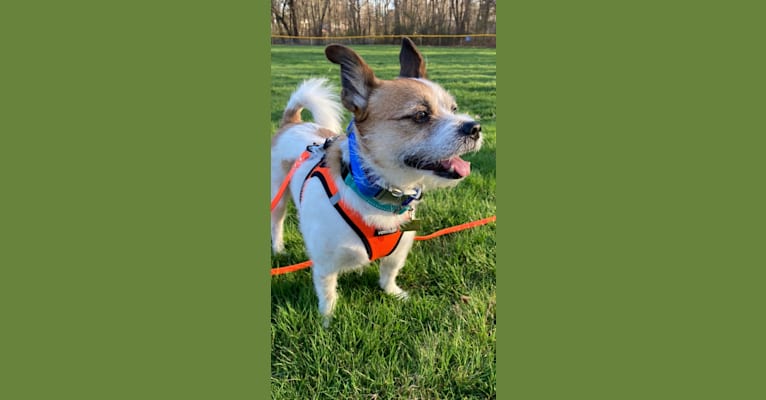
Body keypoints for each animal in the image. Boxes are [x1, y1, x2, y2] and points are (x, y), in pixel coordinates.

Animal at [272, 37, 484, 326]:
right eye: (420, 115)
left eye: (453, 109)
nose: (475, 128)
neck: (377, 194)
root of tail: (292, 122)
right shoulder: (325, 263)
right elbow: (327, 293)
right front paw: (327, 320)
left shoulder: (400, 248)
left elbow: (389, 271)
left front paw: (392, 292)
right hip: (278, 196)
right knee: (277, 223)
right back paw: (278, 248)